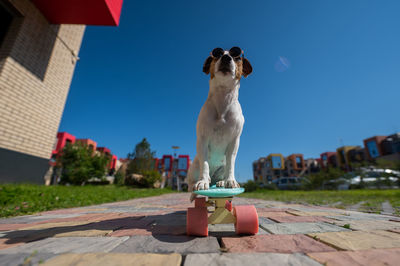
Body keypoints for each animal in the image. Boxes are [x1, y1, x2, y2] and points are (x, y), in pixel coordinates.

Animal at [188, 47, 253, 200]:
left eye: (237, 57)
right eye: (216, 54)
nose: (226, 58)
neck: (223, 98)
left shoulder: (234, 141)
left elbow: (230, 163)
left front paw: (230, 180)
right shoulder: (202, 139)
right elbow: (205, 164)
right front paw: (202, 181)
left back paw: (221, 181)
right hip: (193, 167)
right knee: (192, 181)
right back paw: (196, 188)